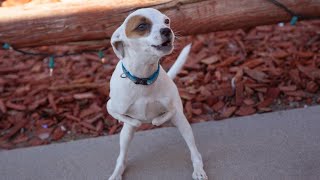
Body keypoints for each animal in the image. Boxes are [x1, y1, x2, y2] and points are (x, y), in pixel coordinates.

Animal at [107, 7, 208, 179]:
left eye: (166, 21)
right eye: (142, 26)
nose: (167, 30)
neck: (143, 78)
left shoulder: (173, 108)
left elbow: (166, 113)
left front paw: (156, 120)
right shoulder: (111, 106)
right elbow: (125, 118)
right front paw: (135, 121)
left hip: (184, 125)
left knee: (195, 152)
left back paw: (198, 170)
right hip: (125, 136)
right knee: (122, 158)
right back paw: (116, 173)